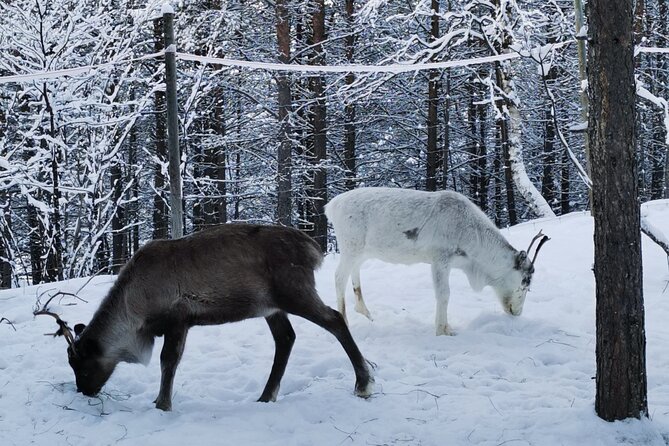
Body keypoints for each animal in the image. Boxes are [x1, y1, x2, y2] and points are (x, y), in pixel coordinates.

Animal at [36, 224, 373, 411]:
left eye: (81, 364)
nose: (84, 391)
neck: (134, 311)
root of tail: (313, 248)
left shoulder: (177, 319)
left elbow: (168, 361)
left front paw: (162, 404)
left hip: (294, 292)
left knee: (335, 319)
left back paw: (363, 383)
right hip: (270, 307)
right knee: (286, 338)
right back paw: (266, 396)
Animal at [324, 187, 549, 336]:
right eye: (525, 281)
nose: (517, 312)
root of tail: (330, 206)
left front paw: (446, 326)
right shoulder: (439, 258)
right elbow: (444, 294)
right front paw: (443, 330)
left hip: (361, 251)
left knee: (355, 273)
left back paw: (365, 312)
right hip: (350, 247)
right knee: (338, 277)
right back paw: (344, 320)